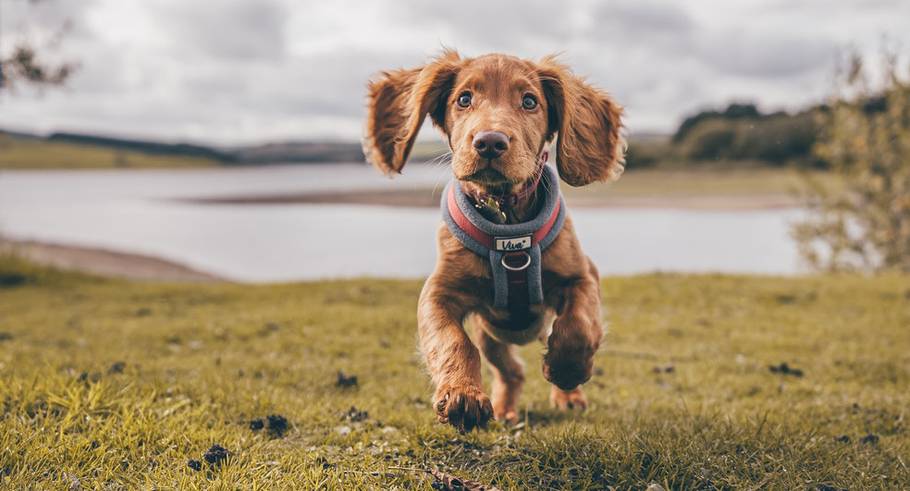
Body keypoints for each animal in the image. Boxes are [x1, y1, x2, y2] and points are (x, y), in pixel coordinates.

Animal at [364, 51, 628, 434]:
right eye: (464, 99)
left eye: (530, 101)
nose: (490, 142)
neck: (507, 223)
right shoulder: (438, 293)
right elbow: (452, 341)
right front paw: (462, 395)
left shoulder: (582, 276)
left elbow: (579, 326)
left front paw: (566, 370)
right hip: (492, 336)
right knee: (511, 371)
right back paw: (504, 409)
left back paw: (569, 397)